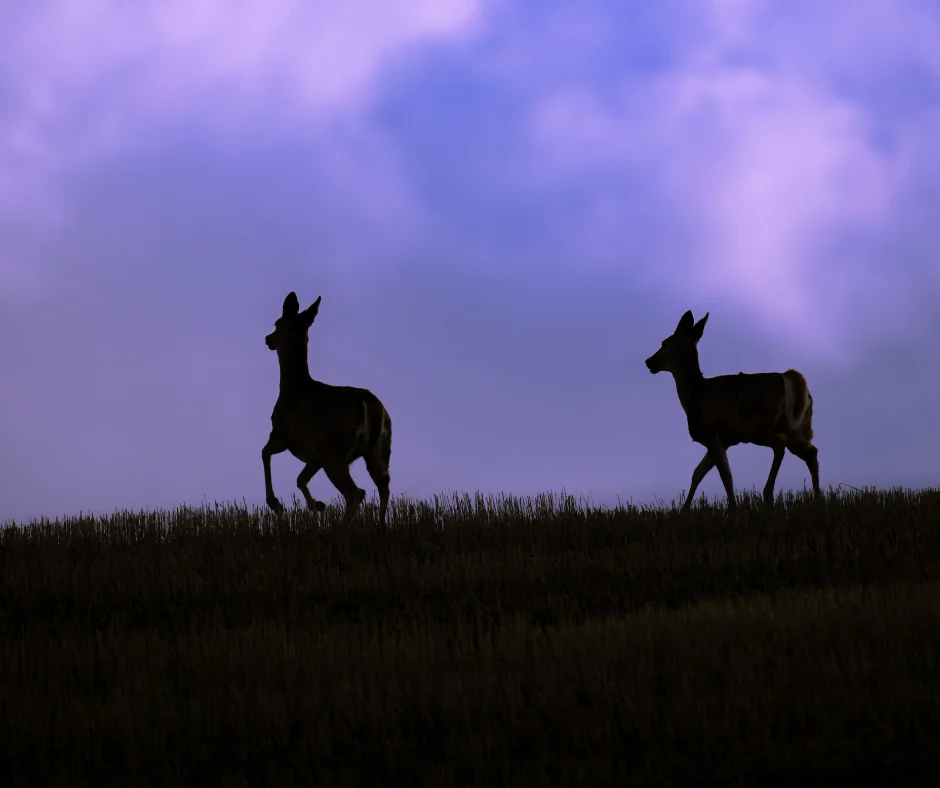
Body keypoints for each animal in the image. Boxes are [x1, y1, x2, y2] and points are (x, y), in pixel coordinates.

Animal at [261, 292, 392, 525]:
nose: (268, 338)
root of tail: (370, 405)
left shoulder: (282, 433)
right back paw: (379, 526)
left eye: (277, 323)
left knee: (353, 492)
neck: (292, 386)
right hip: (379, 449)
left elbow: (264, 453)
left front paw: (276, 504)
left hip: (335, 451)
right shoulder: (315, 455)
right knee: (381, 486)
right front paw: (317, 505)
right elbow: (300, 479)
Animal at [645, 310, 820, 512]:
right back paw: (817, 499)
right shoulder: (724, 440)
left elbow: (725, 476)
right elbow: (697, 473)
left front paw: (734, 510)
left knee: (780, 445)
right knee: (811, 452)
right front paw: (684, 510)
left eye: (664, 343)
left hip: (758, 426)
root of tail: (790, 379)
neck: (694, 394)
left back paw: (768, 494)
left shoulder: (711, 432)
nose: (649, 361)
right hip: (798, 428)